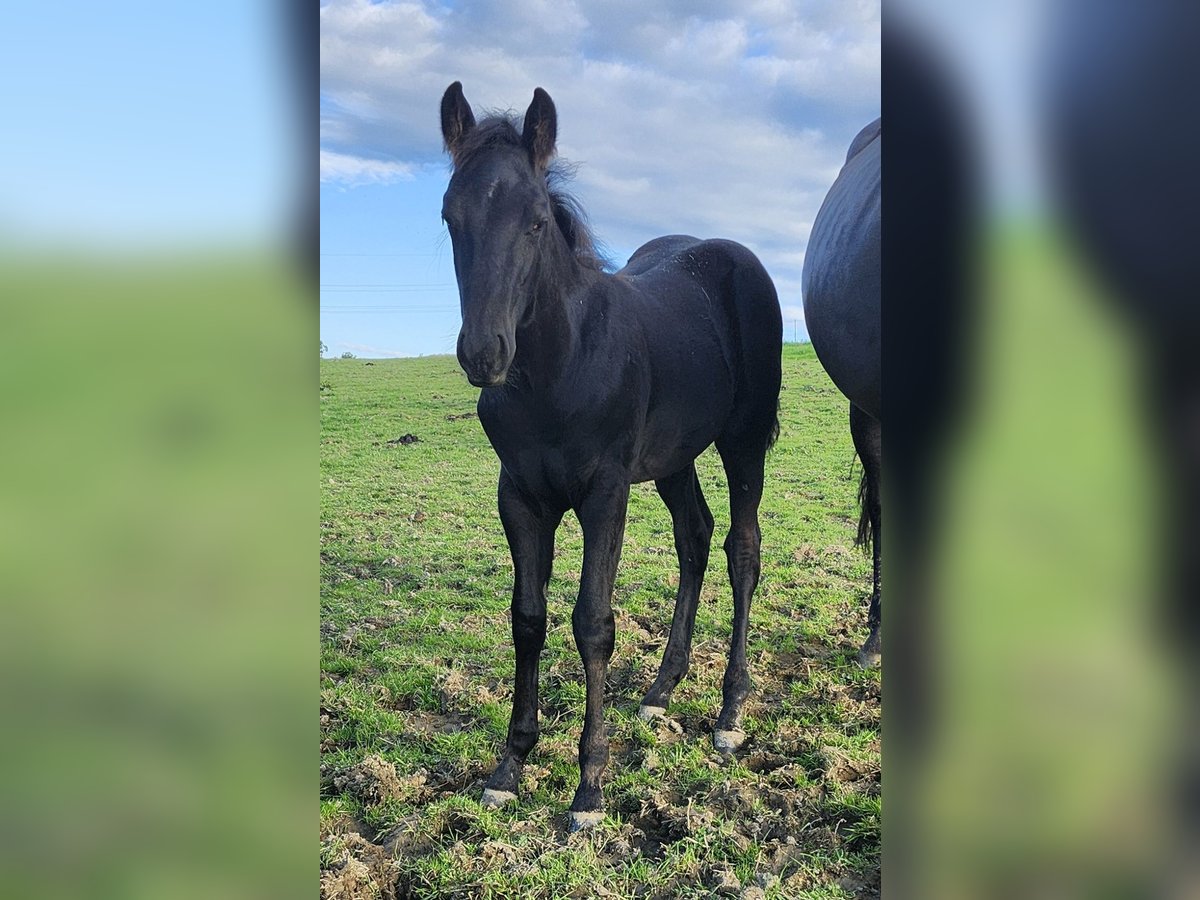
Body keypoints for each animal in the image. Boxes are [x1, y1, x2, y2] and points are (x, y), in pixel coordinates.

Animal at [439, 82, 783, 830]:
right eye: (449, 217)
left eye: (538, 221)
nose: (484, 354)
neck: (557, 368)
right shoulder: (519, 496)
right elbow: (528, 617)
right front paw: (510, 765)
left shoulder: (605, 491)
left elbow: (592, 622)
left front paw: (590, 786)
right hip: (676, 457)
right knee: (695, 536)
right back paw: (660, 691)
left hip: (742, 440)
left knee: (741, 550)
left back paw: (729, 713)